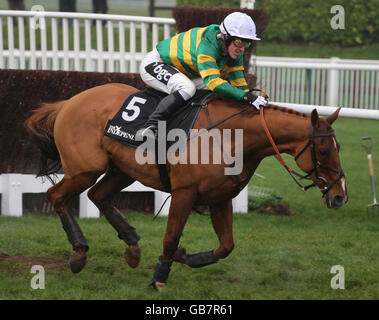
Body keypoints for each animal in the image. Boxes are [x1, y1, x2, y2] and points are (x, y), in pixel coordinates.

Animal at [25, 82, 348, 290]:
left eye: (338, 147)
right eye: (324, 151)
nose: (340, 196)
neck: (232, 137)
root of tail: (68, 102)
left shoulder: (221, 198)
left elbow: (226, 246)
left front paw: (183, 257)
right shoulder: (184, 192)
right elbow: (170, 237)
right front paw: (159, 277)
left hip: (121, 171)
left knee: (98, 196)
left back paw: (131, 245)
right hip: (85, 169)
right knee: (57, 196)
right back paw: (79, 252)